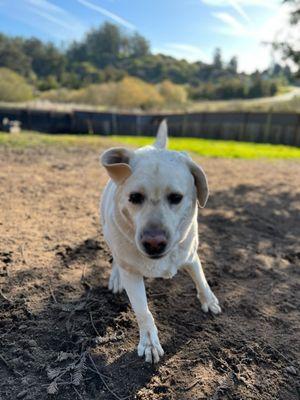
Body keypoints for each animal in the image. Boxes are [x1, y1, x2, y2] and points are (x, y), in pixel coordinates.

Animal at [100, 121, 220, 362]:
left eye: (176, 197)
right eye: (134, 197)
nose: (154, 242)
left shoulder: (190, 256)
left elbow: (201, 279)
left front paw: (209, 300)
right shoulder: (132, 274)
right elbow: (143, 311)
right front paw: (149, 342)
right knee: (117, 259)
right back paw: (116, 276)